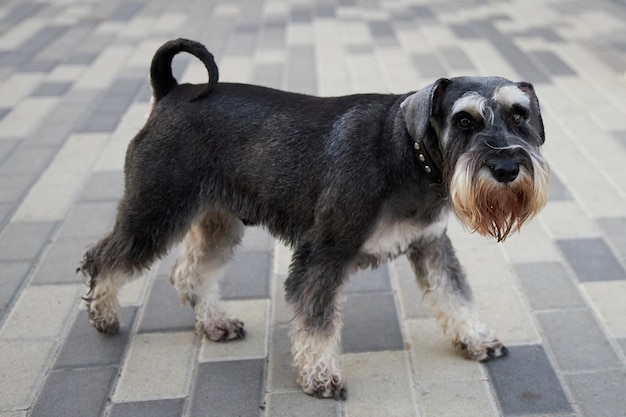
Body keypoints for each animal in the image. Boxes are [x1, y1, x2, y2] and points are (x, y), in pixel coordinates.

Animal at [77, 39, 544, 400]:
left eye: (519, 115)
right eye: (464, 120)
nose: (507, 168)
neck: (408, 153)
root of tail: (171, 91)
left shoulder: (432, 243)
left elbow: (455, 295)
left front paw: (477, 339)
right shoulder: (323, 255)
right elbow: (316, 323)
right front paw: (321, 376)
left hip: (218, 220)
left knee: (191, 271)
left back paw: (215, 322)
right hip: (154, 212)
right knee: (104, 258)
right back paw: (104, 316)